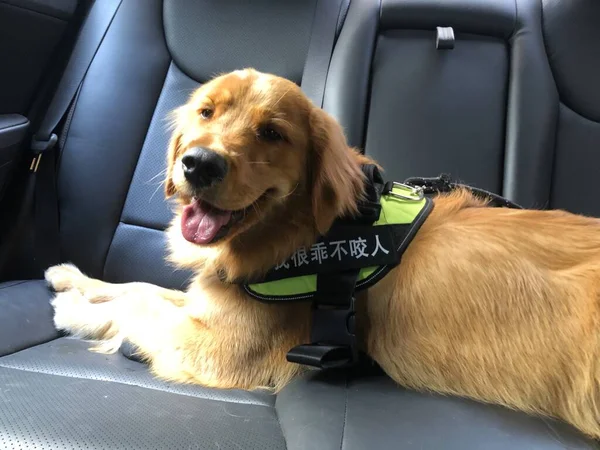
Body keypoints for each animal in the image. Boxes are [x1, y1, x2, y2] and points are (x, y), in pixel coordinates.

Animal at [45, 68, 600, 438]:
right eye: (206, 112)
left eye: (272, 133)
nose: (199, 164)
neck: (296, 232)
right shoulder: (211, 300)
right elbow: (142, 286)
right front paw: (74, 280)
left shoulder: (223, 348)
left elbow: (141, 302)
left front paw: (74, 310)